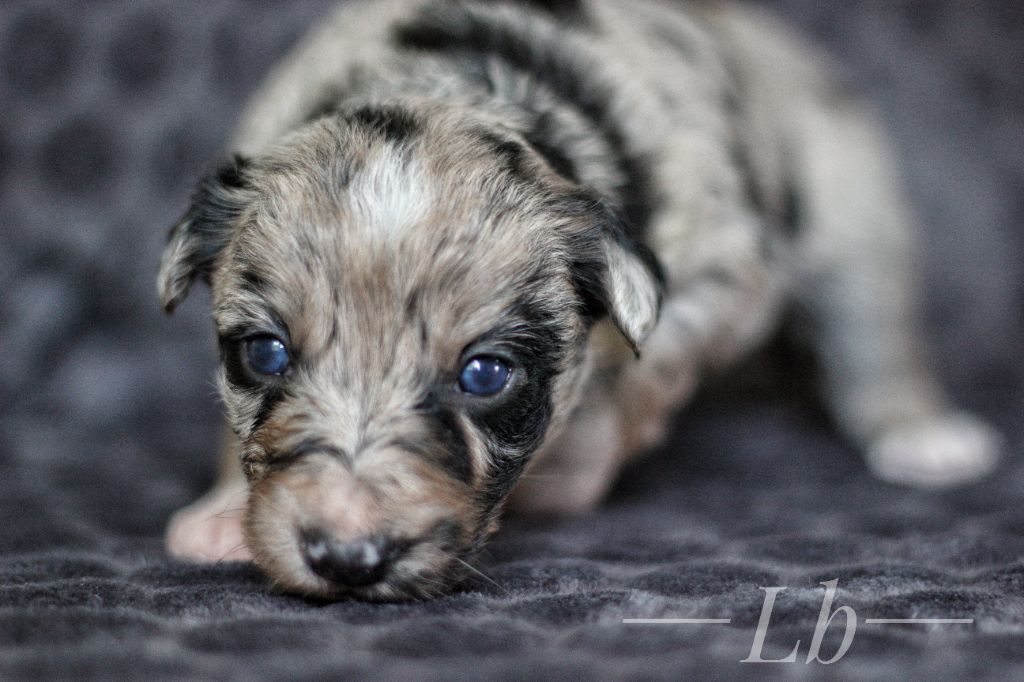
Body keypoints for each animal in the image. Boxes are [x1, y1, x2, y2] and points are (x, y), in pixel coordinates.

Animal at [159, 0, 999, 593]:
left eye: (485, 375)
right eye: (265, 355)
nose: (347, 557)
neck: (458, 87)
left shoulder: (716, 283)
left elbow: (626, 394)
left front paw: (561, 481)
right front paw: (219, 516)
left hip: (851, 195)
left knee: (873, 327)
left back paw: (922, 436)